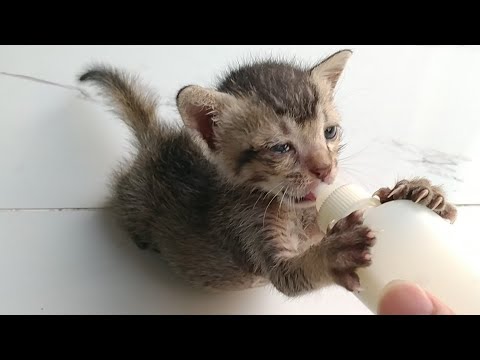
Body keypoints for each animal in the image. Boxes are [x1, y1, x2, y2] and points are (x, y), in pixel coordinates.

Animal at [79, 51, 458, 298]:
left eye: (330, 132)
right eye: (281, 148)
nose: (325, 169)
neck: (289, 207)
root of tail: (159, 142)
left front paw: (419, 192)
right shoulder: (245, 228)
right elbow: (289, 275)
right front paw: (333, 255)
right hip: (132, 198)